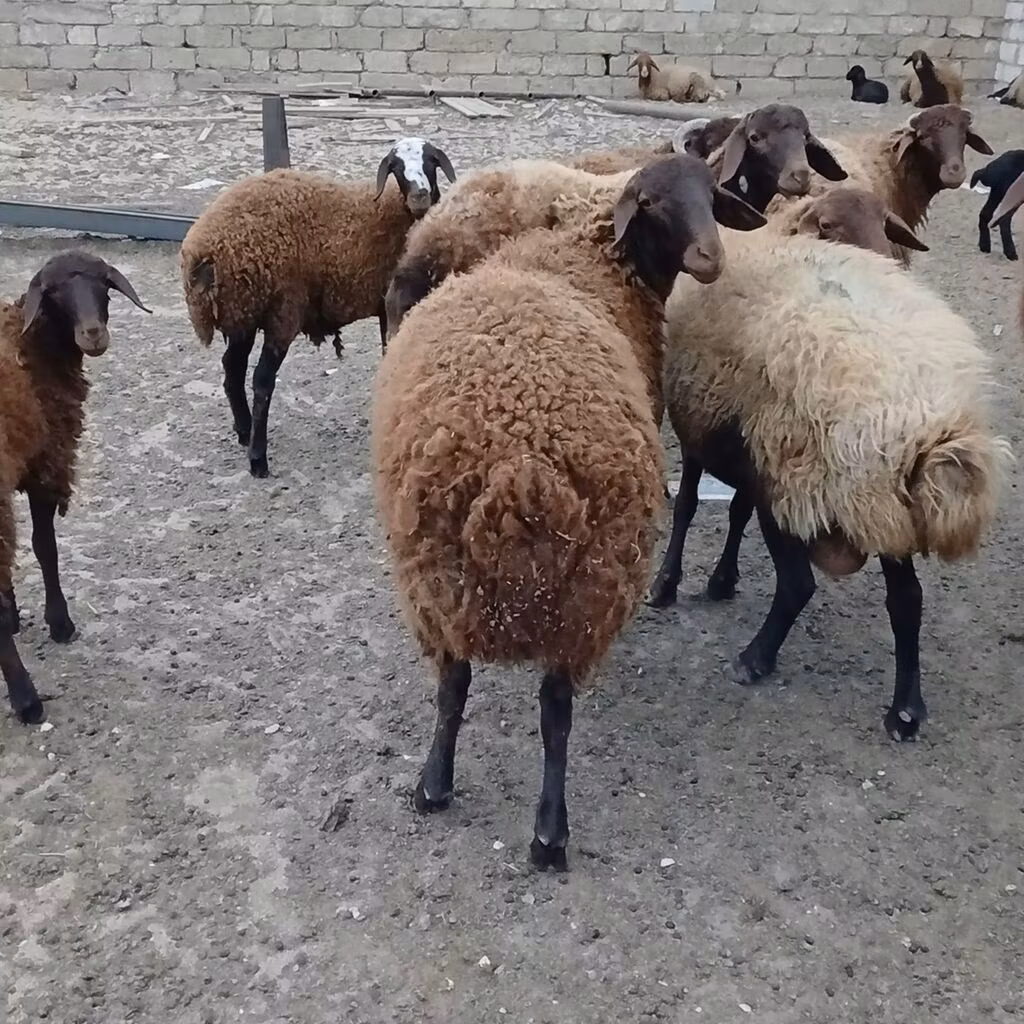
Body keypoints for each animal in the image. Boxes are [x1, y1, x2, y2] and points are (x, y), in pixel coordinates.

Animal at [0, 251, 150, 724]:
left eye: (105, 290)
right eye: (55, 295)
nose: (93, 334)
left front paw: (17, 614)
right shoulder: (46, 463)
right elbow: (45, 546)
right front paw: (59, 622)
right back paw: (27, 700)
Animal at [179, 137, 456, 478]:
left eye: (431, 161)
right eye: (396, 167)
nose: (420, 195)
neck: (393, 214)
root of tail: (202, 251)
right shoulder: (391, 304)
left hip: (243, 312)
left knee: (232, 367)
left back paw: (244, 432)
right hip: (281, 310)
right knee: (261, 380)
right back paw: (258, 458)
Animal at [371, 153, 766, 871]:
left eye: (711, 195)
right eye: (653, 203)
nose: (711, 256)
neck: (591, 251)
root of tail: (522, 469)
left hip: (457, 581)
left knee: (463, 685)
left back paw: (454, 794)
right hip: (578, 587)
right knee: (547, 705)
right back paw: (542, 830)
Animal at [651, 233, 1010, 741]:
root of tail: (934, 427)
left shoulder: (707, 437)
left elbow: (687, 506)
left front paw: (666, 584)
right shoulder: (751, 449)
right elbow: (734, 510)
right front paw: (722, 580)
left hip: (811, 487)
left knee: (797, 584)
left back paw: (754, 659)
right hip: (879, 508)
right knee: (907, 599)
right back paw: (906, 711)